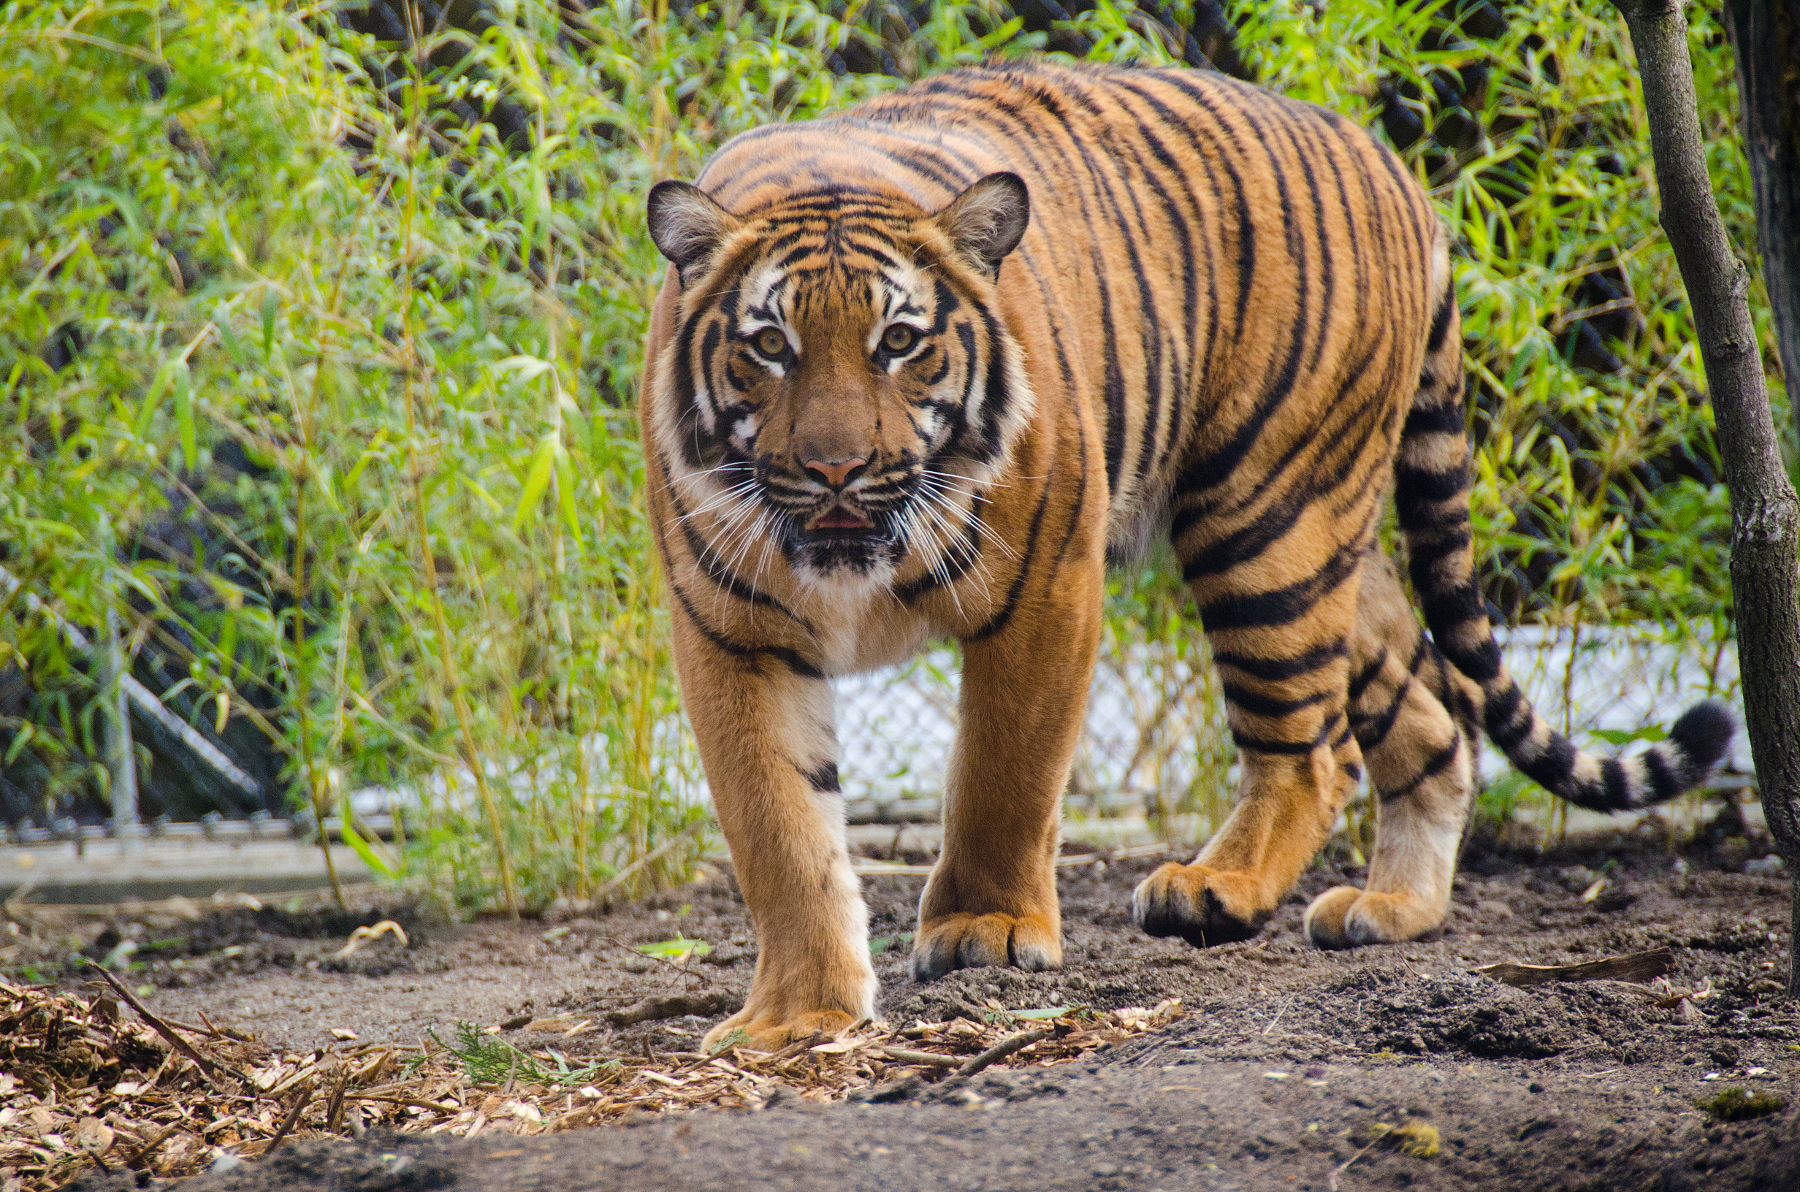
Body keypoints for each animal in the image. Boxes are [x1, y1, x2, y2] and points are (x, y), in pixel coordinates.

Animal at [637, 59, 1734, 1051]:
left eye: (899, 342)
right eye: (770, 345)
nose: (836, 469)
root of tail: (1394, 168)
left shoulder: (1046, 582)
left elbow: (1003, 771)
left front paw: (988, 927)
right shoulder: (729, 630)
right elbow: (781, 831)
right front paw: (797, 1015)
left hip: (1265, 517)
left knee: (1314, 749)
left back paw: (1216, 888)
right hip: (1329, 537)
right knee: (1433, 717)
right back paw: (1391, 907)